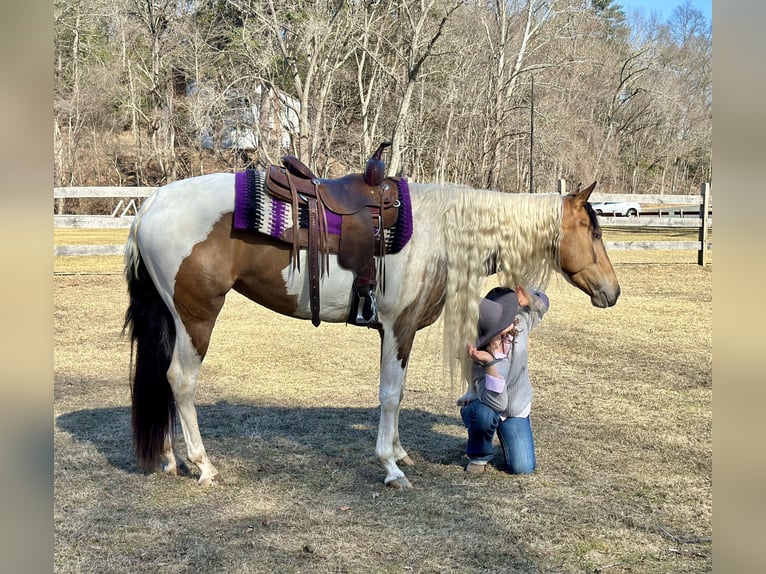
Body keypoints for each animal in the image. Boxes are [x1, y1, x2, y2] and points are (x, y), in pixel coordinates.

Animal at [123, 159, 620, 490]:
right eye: (594, 231)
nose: (612, 292)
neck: (436, 232)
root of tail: (152, 204)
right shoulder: (398, 326)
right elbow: (391, 394)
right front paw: (391, 467)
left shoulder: (401, 331)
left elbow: (396, 395)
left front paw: (399, 453)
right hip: (197, 317)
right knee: (180, 381)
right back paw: (202, 465)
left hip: (173, 319)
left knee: (164, 380)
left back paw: (169, 459)